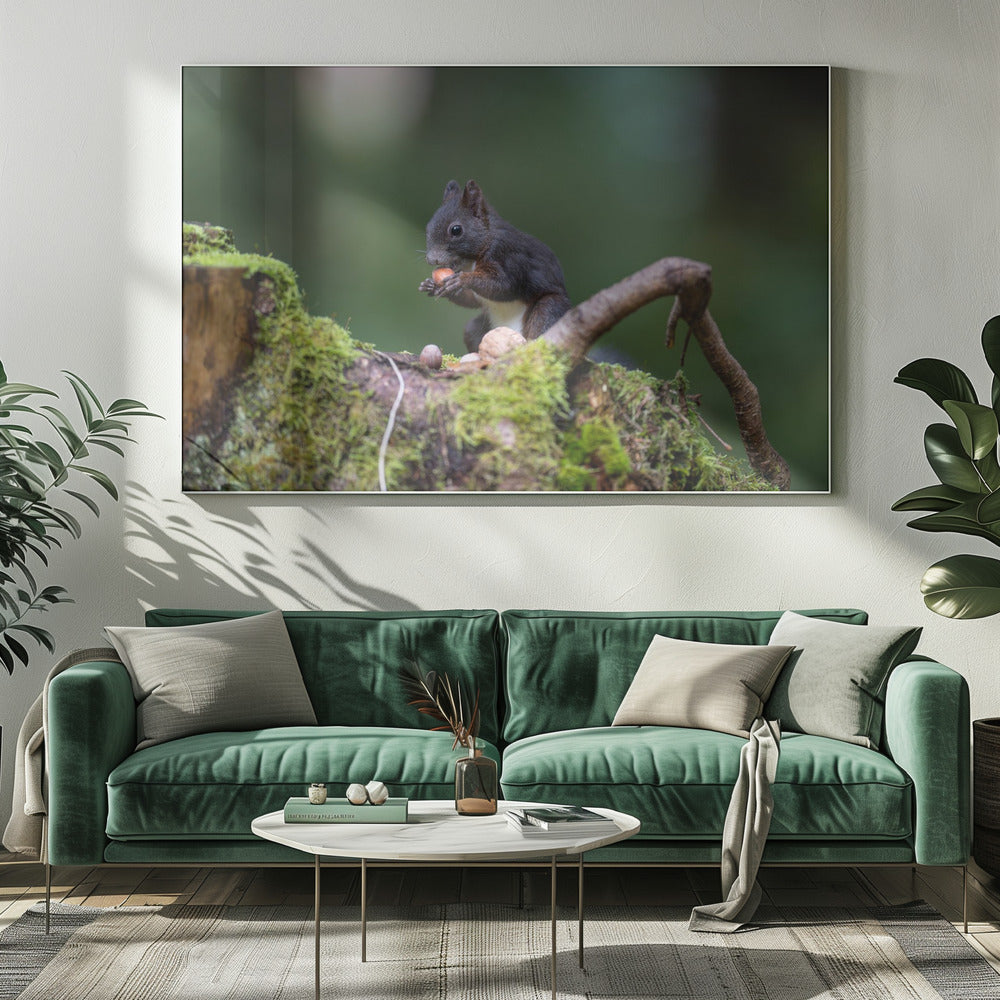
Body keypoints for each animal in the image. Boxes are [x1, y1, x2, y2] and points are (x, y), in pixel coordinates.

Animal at [418, 179, 571, 354]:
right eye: (428, 227)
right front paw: (430, 285)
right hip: (478, 329)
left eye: (456, 230)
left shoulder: (508, 255)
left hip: (549, 309)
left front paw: (463, 280)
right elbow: (472, 300)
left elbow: (505, 286)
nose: (431, 259)